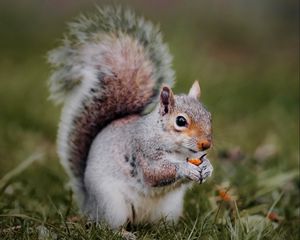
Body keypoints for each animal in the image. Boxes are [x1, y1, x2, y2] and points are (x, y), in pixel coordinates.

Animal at [47, 6, 213, 229]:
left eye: (209, 116)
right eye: (180, 121)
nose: (206, 144)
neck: (177, 148)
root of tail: (89, 204)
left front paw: (208, 167)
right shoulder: (143, 151)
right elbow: (155, 173)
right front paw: (185, 168)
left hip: (169, 209)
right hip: (112, 205)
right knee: (108, 226)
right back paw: (123, 232)